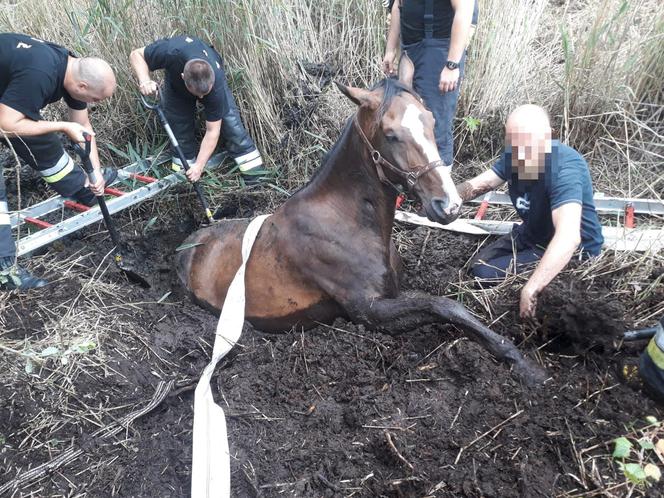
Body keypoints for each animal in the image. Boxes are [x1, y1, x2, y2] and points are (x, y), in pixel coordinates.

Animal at [175, 78, 544, 384]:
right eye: (391, 134)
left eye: (430, 121)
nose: (448, 205)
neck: (348, 221)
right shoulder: (369, 311)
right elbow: (445, 307)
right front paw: (521, 362)